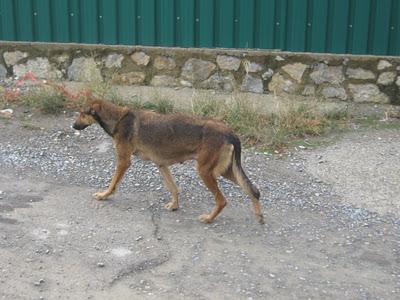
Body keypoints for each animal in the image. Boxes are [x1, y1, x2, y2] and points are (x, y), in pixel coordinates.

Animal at [73, 99, 264, 224]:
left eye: (83, 113)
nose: (73, 126)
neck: (119, 118)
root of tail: (230, 132)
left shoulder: (123, 161)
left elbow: (113, 184)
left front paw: (104, 195)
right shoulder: (162, 165)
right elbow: (173, 188)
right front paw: (174, 205)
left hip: (206, 172)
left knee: (222, 200)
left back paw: (209, 218)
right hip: (226, 171)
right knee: (253, 190)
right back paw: (259, 216)